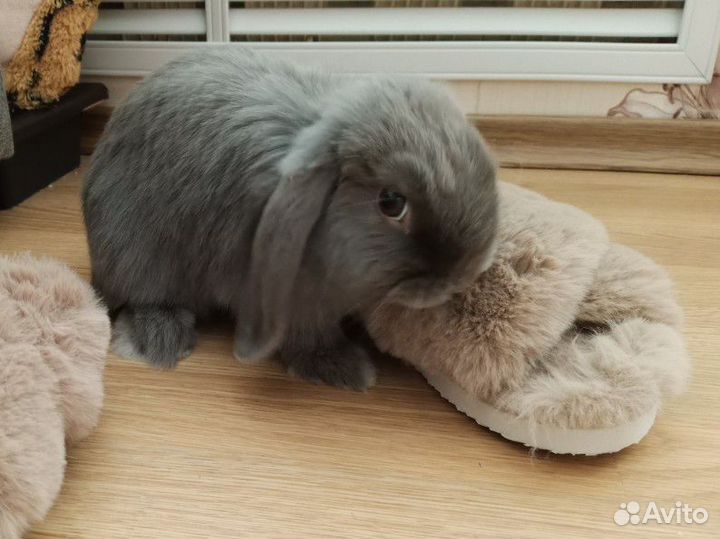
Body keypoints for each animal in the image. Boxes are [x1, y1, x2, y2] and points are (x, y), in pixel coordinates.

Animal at [83, 48, 498, 390]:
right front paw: (345, 368)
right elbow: (308, 337)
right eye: (391, 202)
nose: (461, 276)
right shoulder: (297, 301)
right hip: (137, 256)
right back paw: (160, 340)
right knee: (142, 298)